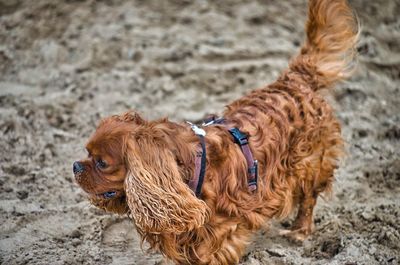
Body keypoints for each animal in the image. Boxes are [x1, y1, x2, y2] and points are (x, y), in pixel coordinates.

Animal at [73, 1, 358, 262]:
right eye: (86, 153)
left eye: (102, 163)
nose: (75, 166)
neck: (185, 171)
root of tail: (295, 79)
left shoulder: (220, 234)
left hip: (312, 163)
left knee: (308, 200)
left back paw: (300, 231)